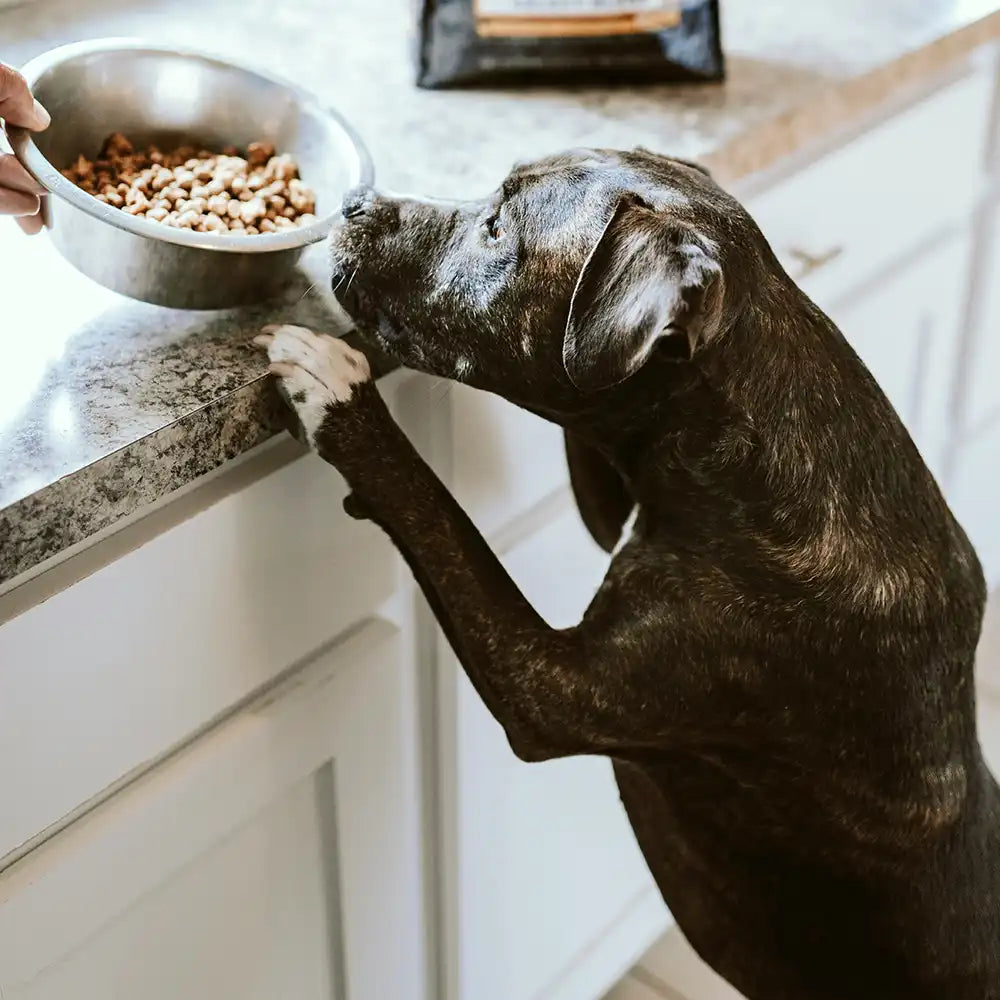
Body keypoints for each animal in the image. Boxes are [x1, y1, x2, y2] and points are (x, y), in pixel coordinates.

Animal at [258, 148, 1000, 1000]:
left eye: (496, 228)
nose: (353, 204)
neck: (746, 449)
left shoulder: (552, 690)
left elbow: (432, 509)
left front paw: (340, 395)